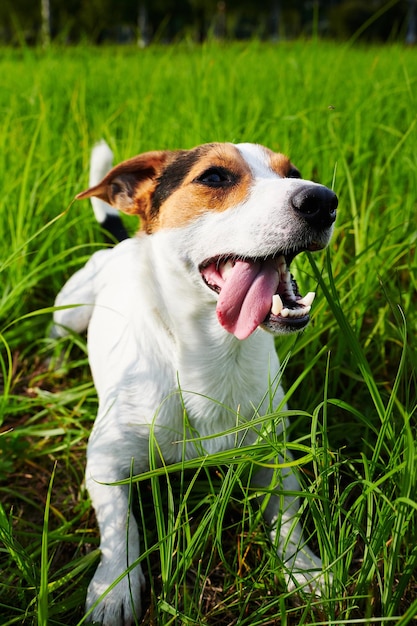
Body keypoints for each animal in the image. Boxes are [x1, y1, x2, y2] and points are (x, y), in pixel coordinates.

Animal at [52, 139, 338, 620]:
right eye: (215, 177)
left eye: (293, 172)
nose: (322, 200)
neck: (209, 355)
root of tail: (124, 243)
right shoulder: (104, 463)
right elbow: (120, 527)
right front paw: (115, 588)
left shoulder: (274, 453)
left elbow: (287, 520)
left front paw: (303, 568)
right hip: (69, 310)